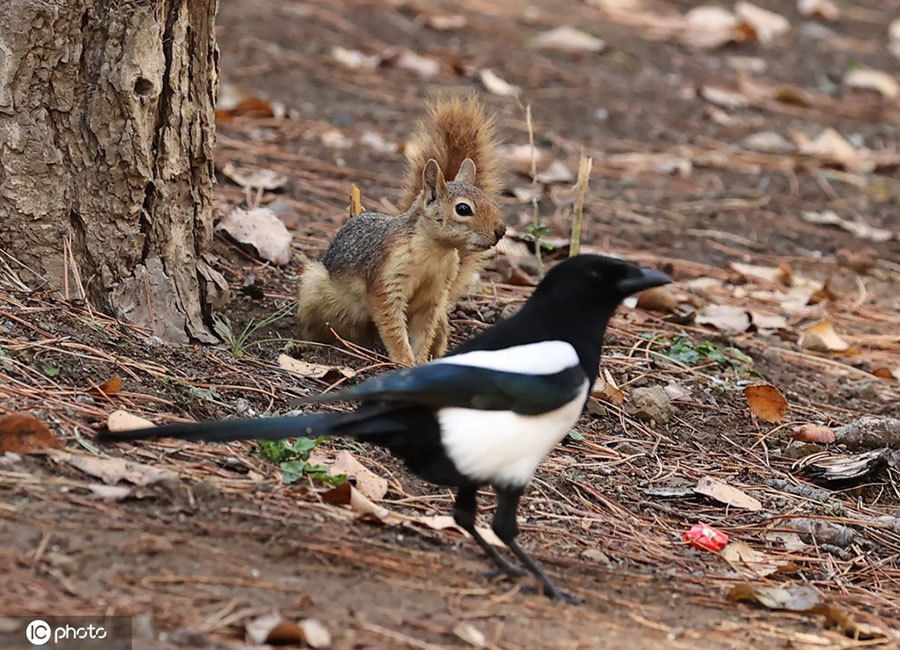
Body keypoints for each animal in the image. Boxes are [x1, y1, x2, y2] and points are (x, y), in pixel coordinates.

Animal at [298, 95, 502, 364]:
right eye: (463, 209)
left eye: (490, 201)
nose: (501, 231)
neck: (436, 253)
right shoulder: (387, 279)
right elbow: (393, 326)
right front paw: (404, 360)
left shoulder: (433, 297)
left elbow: (423, 332)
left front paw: (420, 360)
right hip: (317, 295)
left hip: (441, 320)